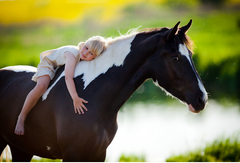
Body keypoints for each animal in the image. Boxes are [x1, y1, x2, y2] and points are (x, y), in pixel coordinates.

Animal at [0, 19, 207, 161]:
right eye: (175, 58)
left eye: (190, 54)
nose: (202, 99)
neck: (93, 96)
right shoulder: (72, 154)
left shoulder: (98, 154)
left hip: (22, 150)